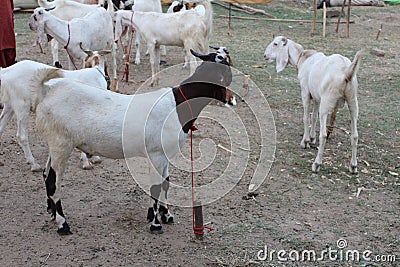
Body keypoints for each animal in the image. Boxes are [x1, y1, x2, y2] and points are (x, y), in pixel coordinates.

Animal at [262, 36, 362, 174]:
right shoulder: (316, 97)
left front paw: (306, 141)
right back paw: (353, 166)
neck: (303, 57)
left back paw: (316, 164)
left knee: (324, 135)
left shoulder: (305, 92)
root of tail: (347, 72)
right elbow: (314, 116)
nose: (265, 56)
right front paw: (312, 137)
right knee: (355, 135)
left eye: (276, 44)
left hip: (326, 103)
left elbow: (306, 117)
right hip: (353, 102)